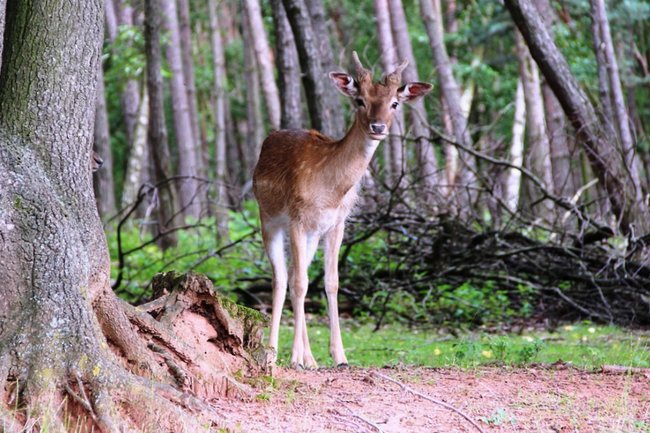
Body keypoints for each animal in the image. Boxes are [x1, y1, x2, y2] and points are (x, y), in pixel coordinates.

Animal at [252, 51, 430, 368]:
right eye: (360, 100)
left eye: (394, 103)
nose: (377, 127)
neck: (331, 191)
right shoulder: (297, 218)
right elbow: (300, 283)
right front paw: (294, 357)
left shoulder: (337, 224)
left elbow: (331, 282)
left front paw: (339, 356)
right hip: (268, 218)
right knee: (282, 278)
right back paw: (274, 352)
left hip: (312, 234)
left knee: (297, 275)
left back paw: (310, 358)